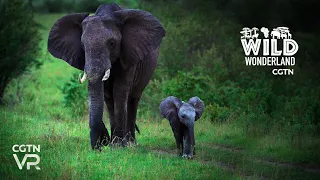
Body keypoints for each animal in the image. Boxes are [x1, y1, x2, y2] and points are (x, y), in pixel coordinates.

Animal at [48, 3, 168, 149]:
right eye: (82, 45)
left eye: (112, 43)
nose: (101, 143)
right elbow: (108, 96)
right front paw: (113, 145)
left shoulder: (128, 57)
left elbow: (120, 92)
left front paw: (119, 146)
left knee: (133, 99)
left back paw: (131, 143)